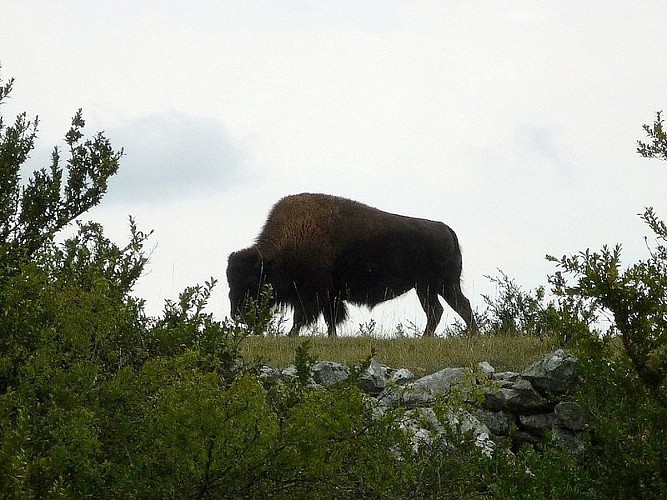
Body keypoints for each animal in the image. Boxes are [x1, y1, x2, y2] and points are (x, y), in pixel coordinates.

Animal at [227, 193, 476, 337]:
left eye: (252, 281)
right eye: (231, 282)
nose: (236, 314)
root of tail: (445, 228)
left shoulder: (313, 295)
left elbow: (304, 317)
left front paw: (291, 336)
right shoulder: (329, 296)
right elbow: (329, 319)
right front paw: (331, 337)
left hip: (435, 285)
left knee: (452, 307)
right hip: (430, 287)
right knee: (445, 309)